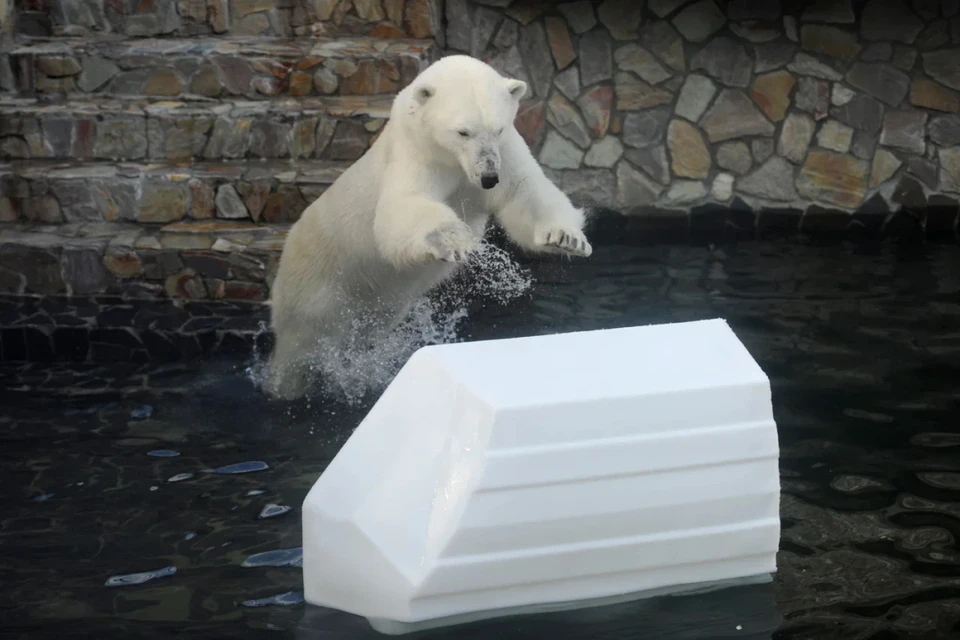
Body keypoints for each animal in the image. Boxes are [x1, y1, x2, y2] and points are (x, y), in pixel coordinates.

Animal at [264, 55, 592, 398]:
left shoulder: (506, 153)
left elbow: (525, 192)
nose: (488, 177)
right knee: (303, 340)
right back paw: (285, 384)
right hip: (318, 279)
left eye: (498, 128)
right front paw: (453, 239)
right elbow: (402, 207)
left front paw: (567, 238)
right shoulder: (417, 154)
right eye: (463, 132)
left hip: (380, 301)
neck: (452, 160)